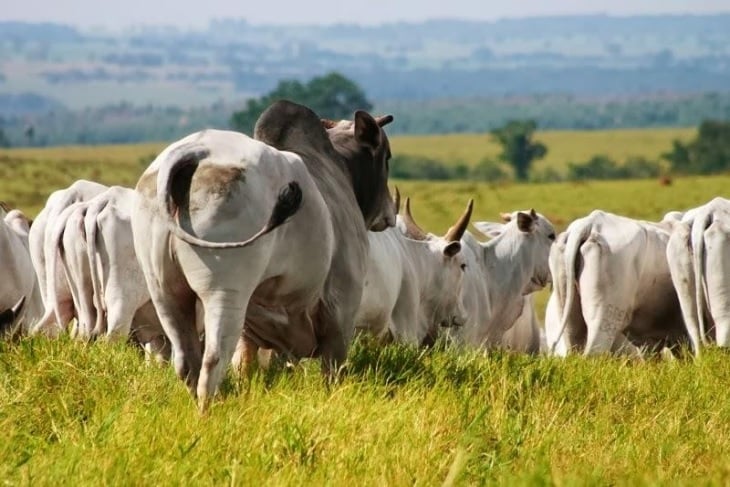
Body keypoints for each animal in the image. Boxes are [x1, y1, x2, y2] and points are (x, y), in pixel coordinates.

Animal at [132, 100, 395, 410]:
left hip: (164, 291)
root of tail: (195, 152)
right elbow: (333, 369)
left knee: (186, 362)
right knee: (213, 360)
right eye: (387, 156)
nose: (389, 213)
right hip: (225, 290)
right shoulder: (341, 308)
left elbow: (245, 365)